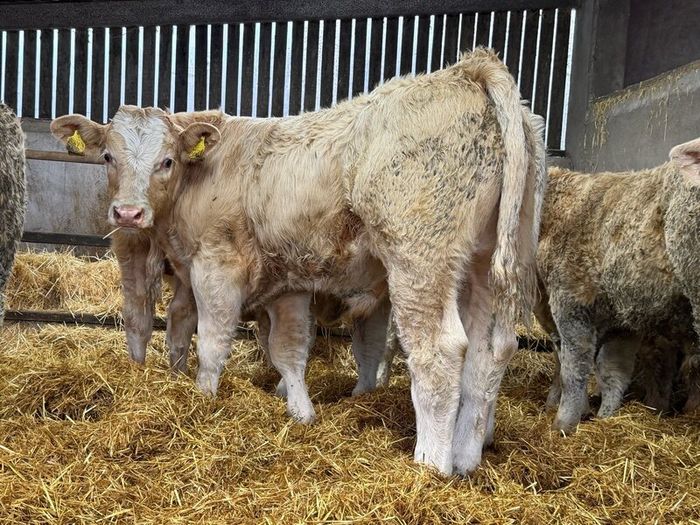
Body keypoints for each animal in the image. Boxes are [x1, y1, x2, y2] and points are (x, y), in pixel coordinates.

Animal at [51, 48, 546, 476]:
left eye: (167, 160)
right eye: (108, 157)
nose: (128, 214)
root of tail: (468, 69)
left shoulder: (216, 267)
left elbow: (211, 342)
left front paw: (203, 400)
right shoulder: (285, 283)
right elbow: (285, 348)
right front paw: (297, 411)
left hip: (419, 260)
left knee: (438, 353)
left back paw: (431, 466)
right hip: (488, 265)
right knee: (489, 350)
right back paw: (465, 458)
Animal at [537, 137, 700, 433]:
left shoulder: (570, 299)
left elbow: (573, 367)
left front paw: (563, 424)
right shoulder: (621, 323)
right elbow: (613, 372)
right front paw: (605, 417)